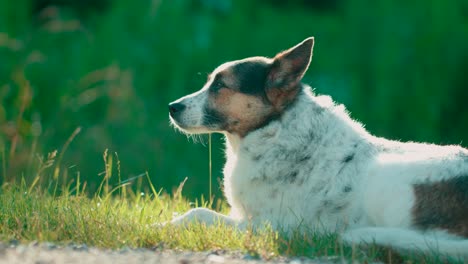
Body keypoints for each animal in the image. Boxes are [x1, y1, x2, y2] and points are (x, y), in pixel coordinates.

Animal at [167, 37, 468, 258]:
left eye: (220, 85)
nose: (172, 107)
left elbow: (199, 214)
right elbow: (194, 213)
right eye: (209, 81)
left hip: (387, 179)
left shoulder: (269, 225)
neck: (275, 129)